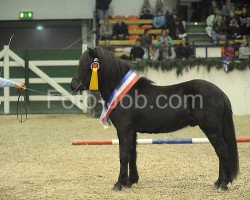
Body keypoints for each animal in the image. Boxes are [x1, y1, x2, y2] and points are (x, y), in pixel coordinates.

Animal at [71, 46, 238, 191]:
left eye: (86, 65)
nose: (73, 85)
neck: (125, 93)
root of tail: (221, 93)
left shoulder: (124, 130)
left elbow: (123, 155)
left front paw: (119, 184)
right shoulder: (132, 131)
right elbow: (132, 154)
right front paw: (130, 182)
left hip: (212, 130)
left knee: (223, 152)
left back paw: (223, 184)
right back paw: (218, 182)